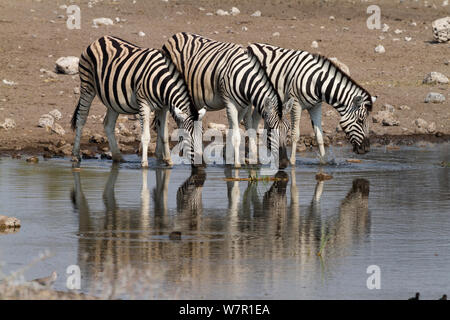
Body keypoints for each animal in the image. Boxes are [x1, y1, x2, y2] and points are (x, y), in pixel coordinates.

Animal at [70, 35, 206, 168]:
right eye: (188, 137)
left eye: (202, 136)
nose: (202, 165)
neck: (161, 82)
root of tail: (99, 39)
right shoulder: (144, 104)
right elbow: (146, 136)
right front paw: (144, 164)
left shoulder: (163, 107)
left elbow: (164, 135)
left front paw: (168, 161)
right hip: (87, 85)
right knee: (81, 118)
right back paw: (75, 156)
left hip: (113, 99)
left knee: (108, 124)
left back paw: (118, 158)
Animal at [163, 31, 294, 170]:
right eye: (270, 129)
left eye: (288, 129)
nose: (284, 163)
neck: (245, 79)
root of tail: (176, 35)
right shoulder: (230, 102)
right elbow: (236, 135)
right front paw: (236, 164)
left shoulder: (244, 106)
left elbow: (237, 130)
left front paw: (231, 158)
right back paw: (166, 158)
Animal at [246, 43, 376, 165]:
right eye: (360, 121)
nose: (366, 150)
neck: (317, 82)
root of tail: (251, 45)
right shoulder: (295, 104)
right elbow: (295, 134)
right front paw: (292, 162)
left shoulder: (316, 106)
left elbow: (319, 136)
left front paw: (323, 161)